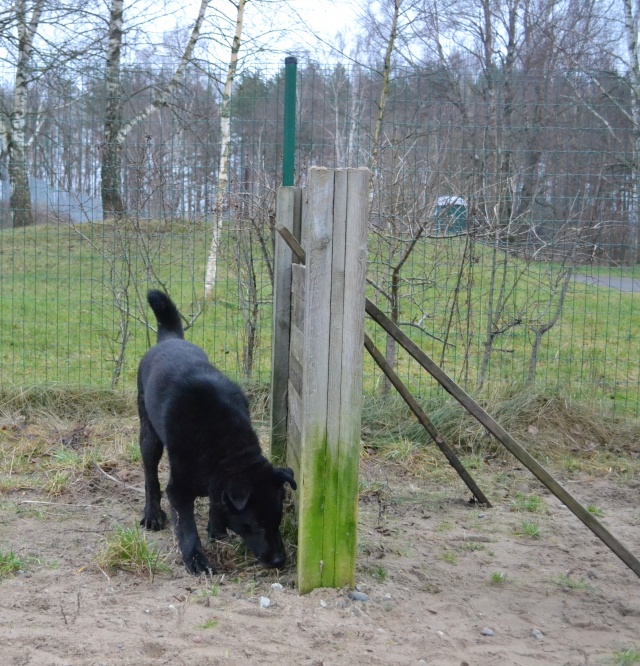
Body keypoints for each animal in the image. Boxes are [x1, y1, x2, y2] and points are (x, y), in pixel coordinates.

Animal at [137, 289, 296, 575]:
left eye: (278, 519)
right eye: (256, 524)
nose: (280, 560)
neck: (226, 447)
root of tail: (171, 338)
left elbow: (216, 501)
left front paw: (217, 530)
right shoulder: (178, 489)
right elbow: (186, 527)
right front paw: (196, 559)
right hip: (149, 436)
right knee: (150, 477)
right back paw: (152, 515)